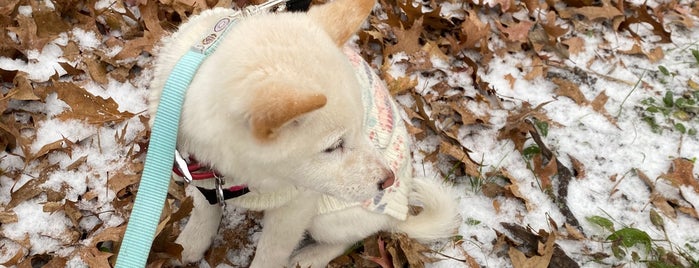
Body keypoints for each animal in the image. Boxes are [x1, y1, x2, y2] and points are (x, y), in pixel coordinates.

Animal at [148, 1, 462, 266]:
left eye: (362, 126)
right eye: (333, 146)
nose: (388, 180)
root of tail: (400, 209)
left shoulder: (297, 206)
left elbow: (271, 253)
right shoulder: (202, 176)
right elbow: (204, 210)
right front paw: (190, 244)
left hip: (332, 217)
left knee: (347, 240)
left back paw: (311, 257)